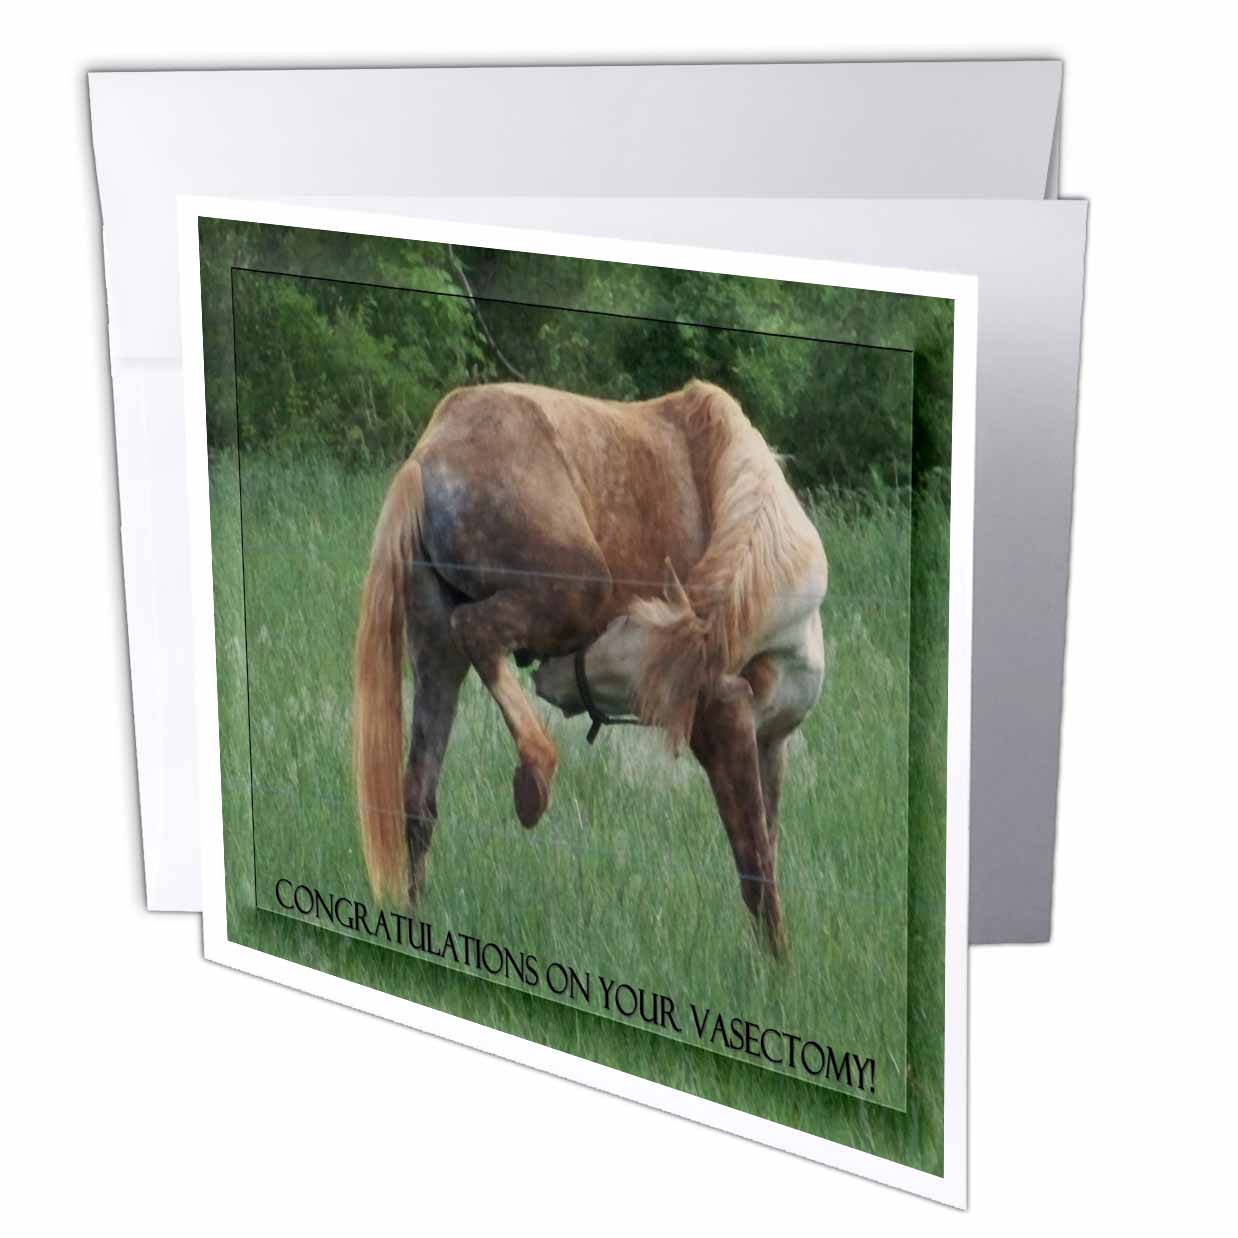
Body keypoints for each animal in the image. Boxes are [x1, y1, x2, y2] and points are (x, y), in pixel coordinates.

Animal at [352, 380, 828, 956]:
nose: (550, 676)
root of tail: (429, 455)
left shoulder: (771, 744)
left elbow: (767, 852)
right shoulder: (724, 718)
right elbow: (754, 861)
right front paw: (775, 969)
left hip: (434, 650)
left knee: (418, 799)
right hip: (574, 588)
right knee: (477, 632)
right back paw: (536, 772)